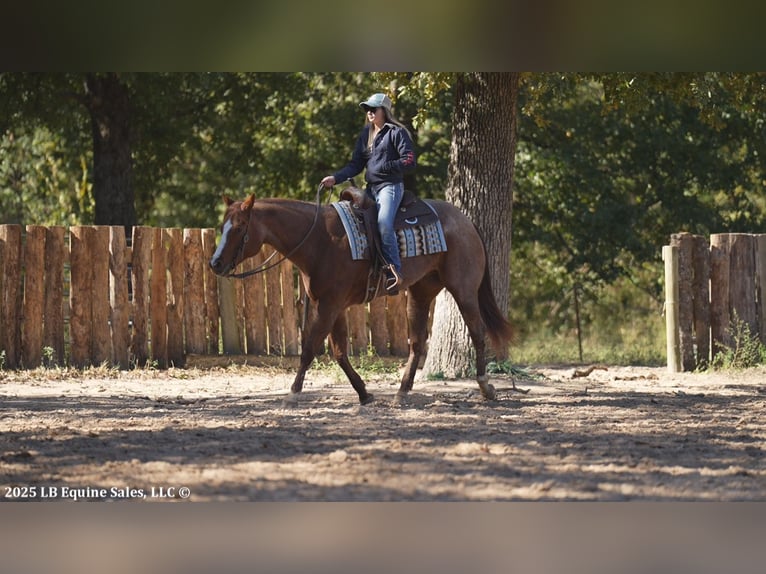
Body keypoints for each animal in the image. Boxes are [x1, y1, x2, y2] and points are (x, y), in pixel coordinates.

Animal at [209, 191, 514, 405]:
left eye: (239, 228)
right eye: (223, 226)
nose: (215, 263)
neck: (319, 240)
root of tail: (465, 221)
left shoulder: (330, 305)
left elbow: (310, 348)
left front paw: (293, 393)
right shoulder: (332, 306)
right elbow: (339, 352)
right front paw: (364, 393)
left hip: (464, 290)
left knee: (477, 332)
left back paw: (486, 387)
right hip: (420, 292)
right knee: (417, 343)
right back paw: (402, 392)